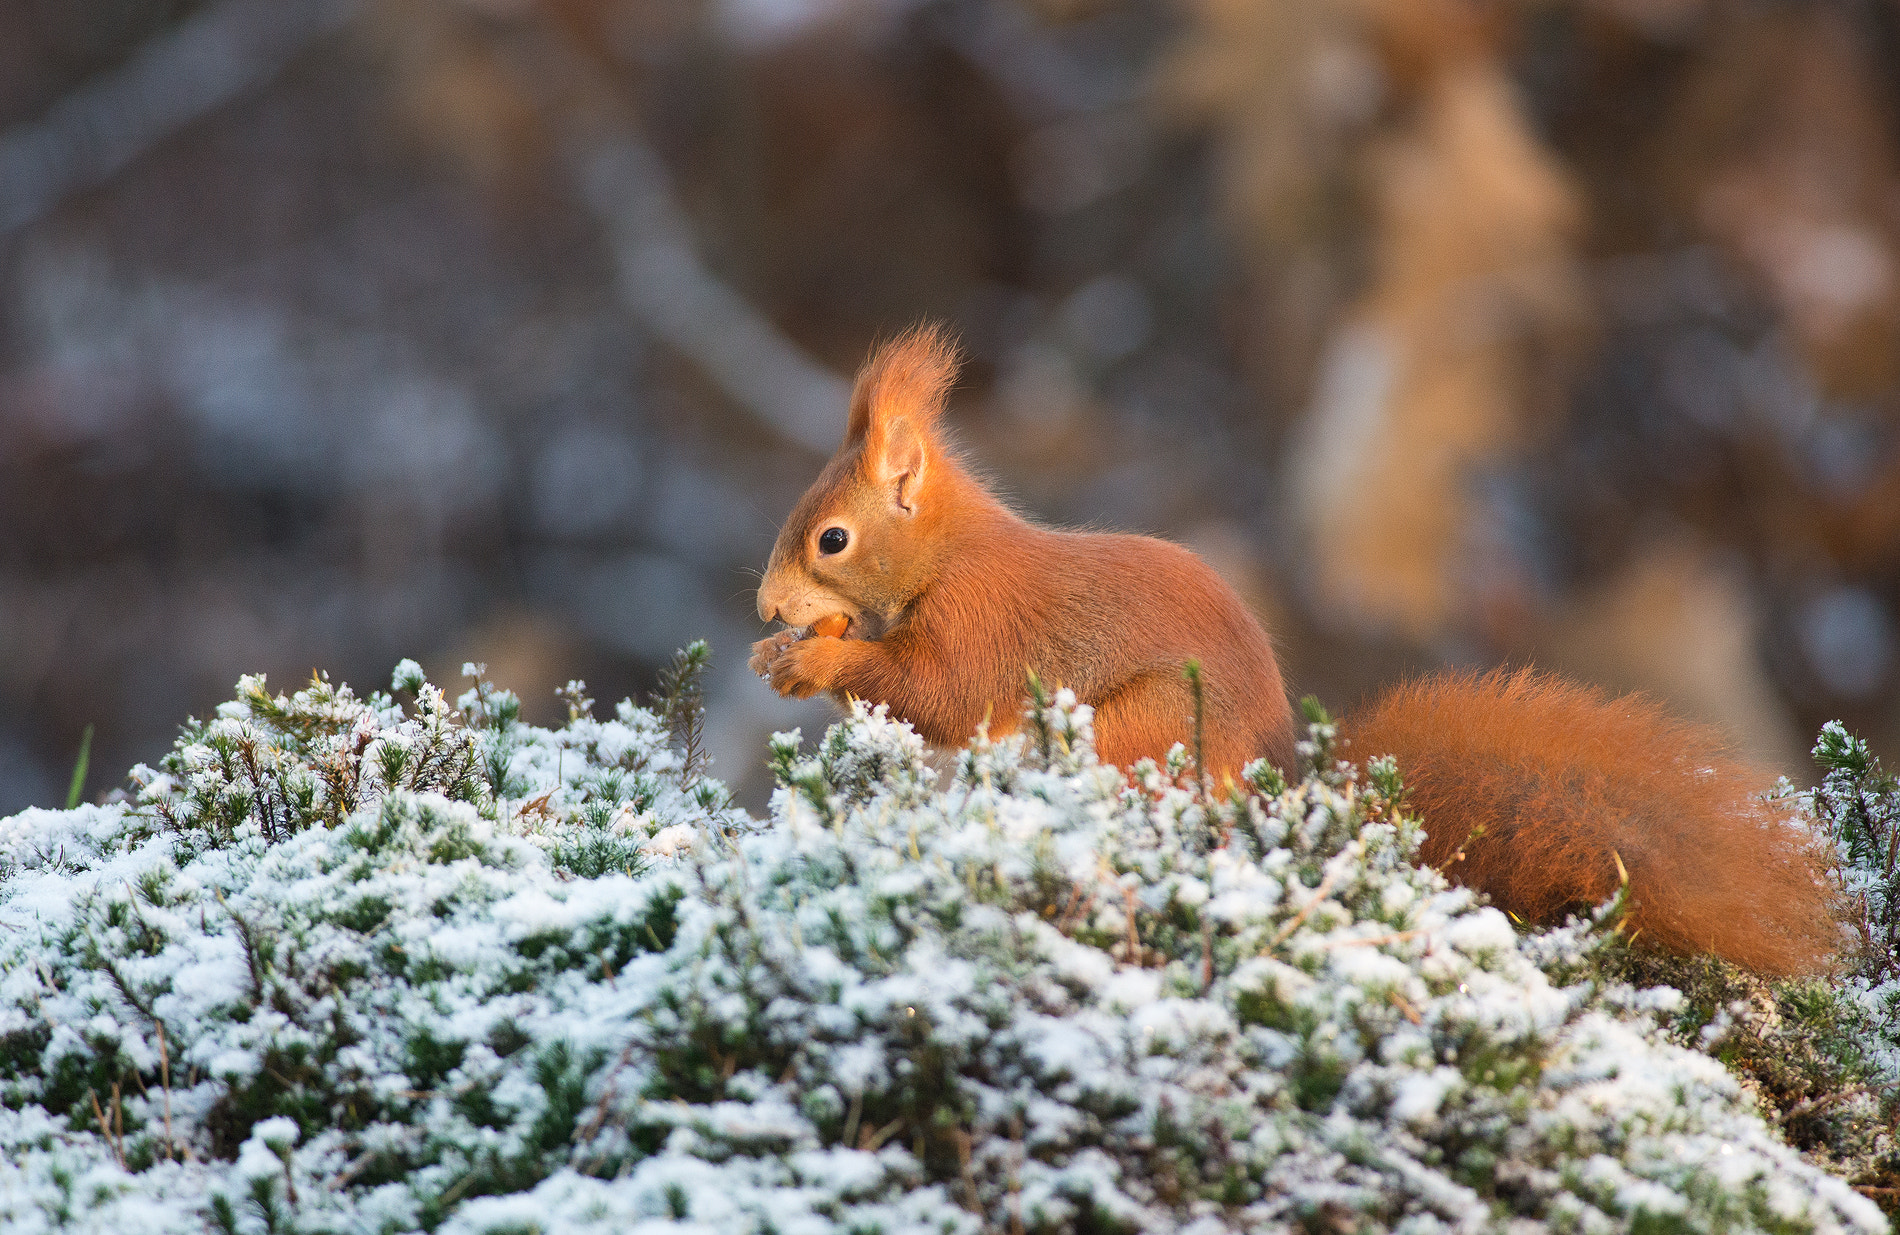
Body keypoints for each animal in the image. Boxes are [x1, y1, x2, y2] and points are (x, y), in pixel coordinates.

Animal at [748, 324, 1831, 972]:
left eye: (830, 538)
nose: (761, 603)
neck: (947, 550)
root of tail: (1280, 789)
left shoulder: (981, 619)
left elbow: (938, 693)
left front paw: (814, 658)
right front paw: (786, 656)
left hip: (1138, 727)